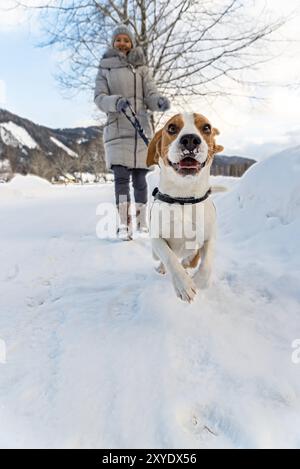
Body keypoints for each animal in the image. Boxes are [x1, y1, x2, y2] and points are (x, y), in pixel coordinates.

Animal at [146, 113, 224, 304]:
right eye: (171, 128)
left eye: (206, 128)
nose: (190, 140)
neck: (184, 198)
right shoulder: (156, 237)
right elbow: (168, 256)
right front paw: (184, 284)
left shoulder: (209, 236)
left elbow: (206, 263)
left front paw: (199, 281)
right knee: (161, 258)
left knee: (190, 260)